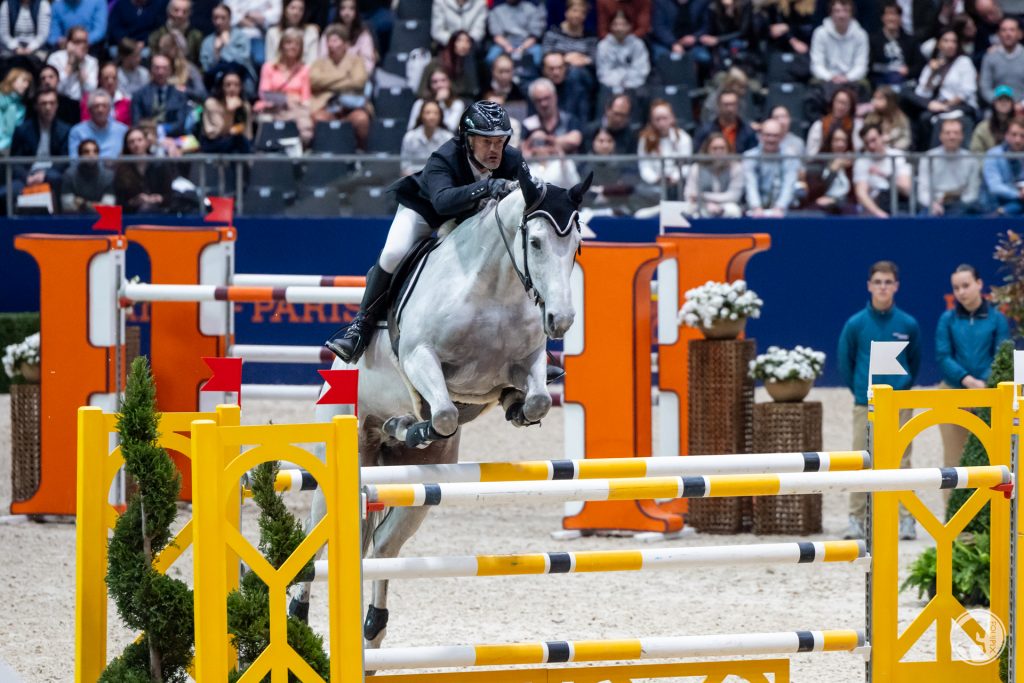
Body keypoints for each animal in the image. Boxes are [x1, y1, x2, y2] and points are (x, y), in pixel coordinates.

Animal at [290, 163, 593, 651]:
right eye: (535, 242)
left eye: (577, 245)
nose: (561, 320)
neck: (495, 288)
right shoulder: (420, 358)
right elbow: (445, 412)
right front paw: (416, 424)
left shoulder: (526, 364)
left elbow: (536, 398)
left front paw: (516, 408)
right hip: (343, 461)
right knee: (318, 542)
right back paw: (298, 611)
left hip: (418, 488)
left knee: (383, 548)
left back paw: (373, 627)